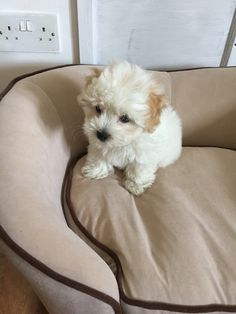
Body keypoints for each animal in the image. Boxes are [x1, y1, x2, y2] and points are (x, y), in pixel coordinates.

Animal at [76, 60, 182, 195]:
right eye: (98, 108)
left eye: (125, 118)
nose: (101, 134)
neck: (123, 142)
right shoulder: (97, 143)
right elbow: (98, 154)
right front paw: (96, 170)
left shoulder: (144, 154)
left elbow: (139, 169)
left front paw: (136, 185)